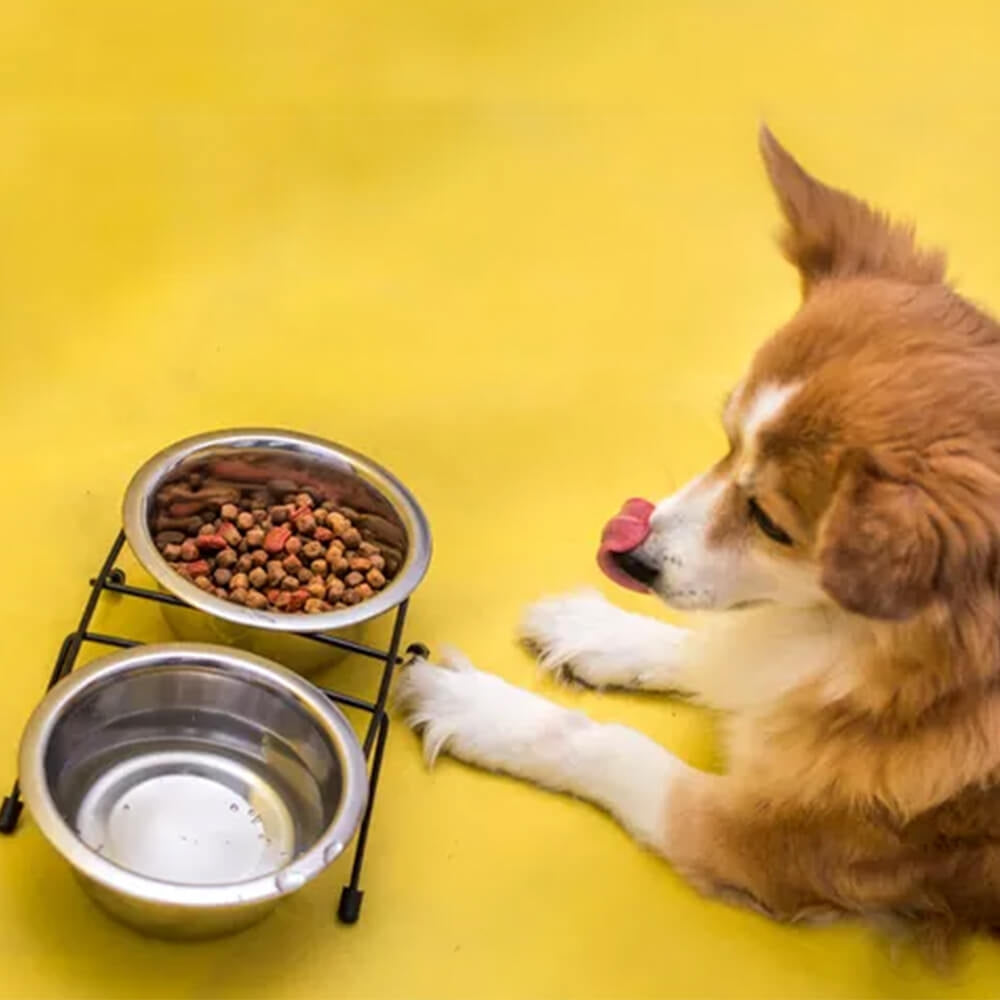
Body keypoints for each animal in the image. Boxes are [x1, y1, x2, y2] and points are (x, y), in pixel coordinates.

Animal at [396, 129, 1000, 956]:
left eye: (771, 522)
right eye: (725, 438)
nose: (630, 556)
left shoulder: (761, 842)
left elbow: (606, 743)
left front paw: (483, 709)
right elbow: (714, 649)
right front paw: (599, 630)